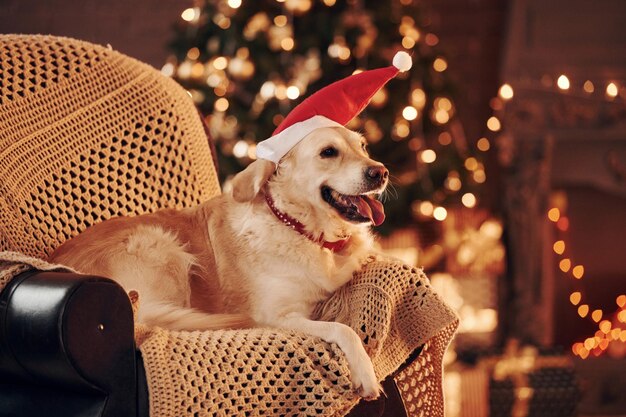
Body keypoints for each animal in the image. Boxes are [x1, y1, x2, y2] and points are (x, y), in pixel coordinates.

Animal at [50, 126, 386, 396]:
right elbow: (343, 330)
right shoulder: (277, 317)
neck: (299, 227)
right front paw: (366, 375)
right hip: (163, 248)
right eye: (328, 152)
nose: (380, 172)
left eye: (363, 147)